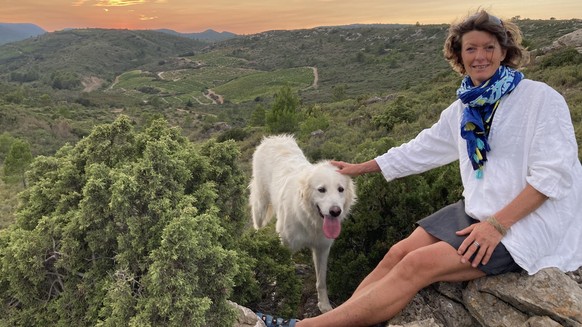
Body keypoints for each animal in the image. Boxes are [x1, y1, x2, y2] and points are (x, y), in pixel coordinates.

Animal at [250, 135, 356, 314]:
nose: (335, 211)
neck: (310, 219)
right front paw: (281, 298)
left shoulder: (322, 248)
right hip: (260, 207)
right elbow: (283, 275)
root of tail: (274, 137)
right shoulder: (286, 245)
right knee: (257, 227)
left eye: (340, 189)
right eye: (321, 190)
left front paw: (324, 305)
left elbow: (321, 281)